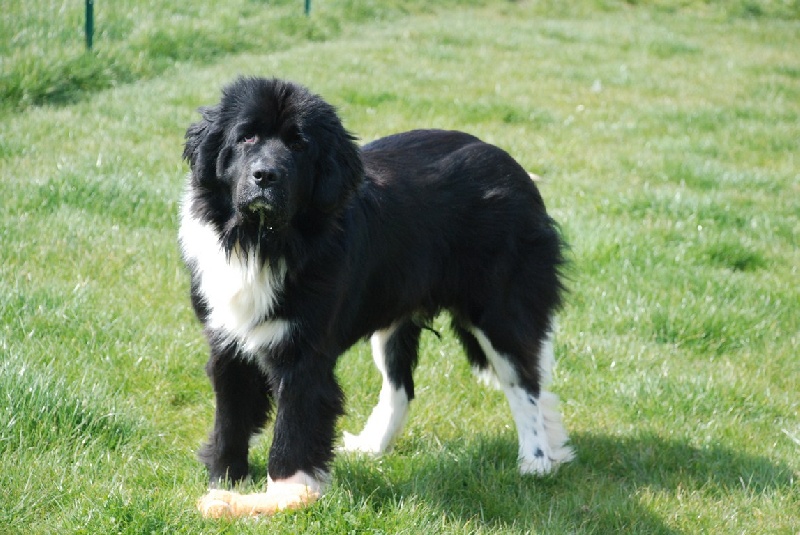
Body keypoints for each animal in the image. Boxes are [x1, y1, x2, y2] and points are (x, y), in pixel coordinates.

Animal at [178, 77, 572, 516]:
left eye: (299, 145)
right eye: (246, 137)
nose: (265, 175)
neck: (260, 241)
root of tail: (511, 165)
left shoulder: (304, 354)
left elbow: (294, 424)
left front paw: (285, 493)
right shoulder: (226, 340)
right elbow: (230, 417)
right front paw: (225, 482)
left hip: (498, 309)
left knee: (524, 382)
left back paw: (536, 461)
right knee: (401, 387)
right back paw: (372, 446)